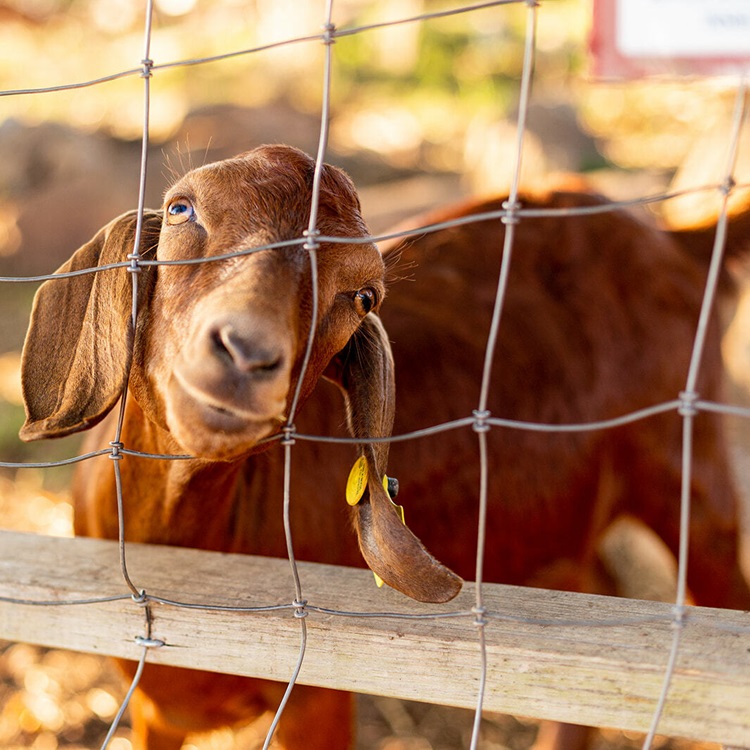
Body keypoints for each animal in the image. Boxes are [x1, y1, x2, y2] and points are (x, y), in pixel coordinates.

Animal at [19, 145, 750, 748]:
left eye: (361, 295)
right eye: (180, 208)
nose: (246, 356)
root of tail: (674, 240)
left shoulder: (316, 697)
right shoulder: (149, 700)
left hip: (687, 469)